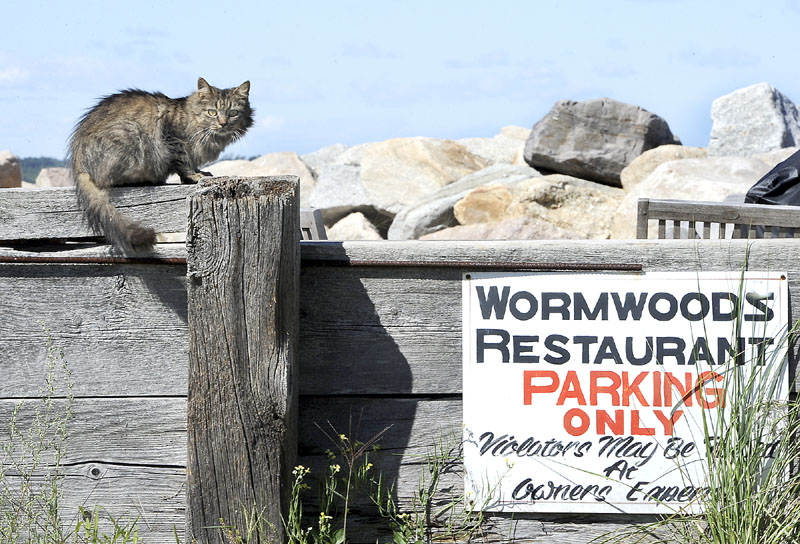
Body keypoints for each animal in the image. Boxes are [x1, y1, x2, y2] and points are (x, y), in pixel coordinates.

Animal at [72, 77, 255, 252]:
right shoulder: (173, 139)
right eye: (212, 112)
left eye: (233, 113)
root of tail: (79, 164)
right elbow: (183, 163)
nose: (223, 123)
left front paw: (198, 173)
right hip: (130, 134)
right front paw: (194, 176)